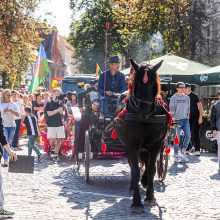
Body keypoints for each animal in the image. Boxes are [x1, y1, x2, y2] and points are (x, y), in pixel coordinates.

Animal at [114, 58, 169, 213]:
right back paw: (133, 187)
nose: (143, 111)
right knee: (133, 167)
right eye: (136, 84)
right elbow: (136, 170)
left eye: (152, 84)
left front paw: (150, 196)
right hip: (128, 147)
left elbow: (151, 169)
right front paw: (137, 202)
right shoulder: (131, 144)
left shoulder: (157, 143)